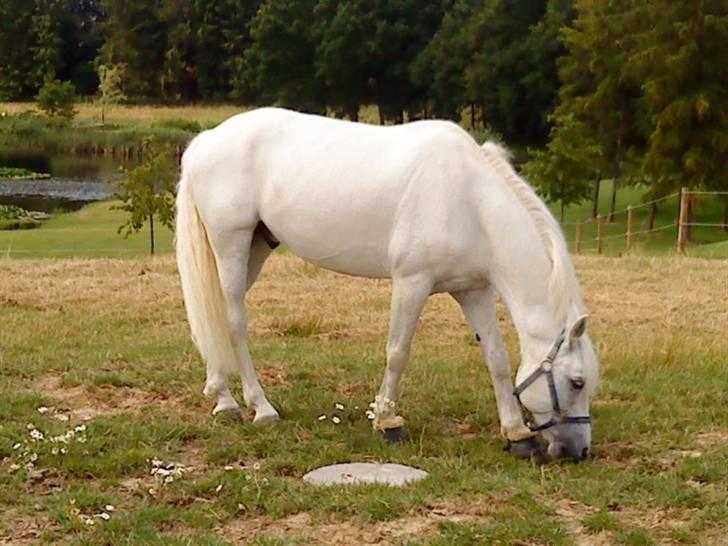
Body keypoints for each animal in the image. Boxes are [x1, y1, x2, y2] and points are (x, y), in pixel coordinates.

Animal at [175, 106, 596, 460]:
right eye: (577, 382)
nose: (579, 451)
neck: (469, 199)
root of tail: (207, 139)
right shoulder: (412, 282)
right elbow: (398, 352)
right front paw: (388, 421)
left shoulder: (473, 291)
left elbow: (497, 358)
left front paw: (516, 433)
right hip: (232, 243)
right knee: (234, 322)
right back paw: (259, 407)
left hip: (256, 247)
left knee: (216, 316)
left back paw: (223, 399)